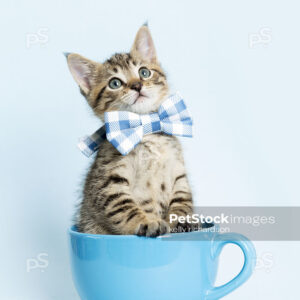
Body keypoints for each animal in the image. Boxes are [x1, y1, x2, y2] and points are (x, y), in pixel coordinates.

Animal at [66, 24, 193, 237]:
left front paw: (182, 220)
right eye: (115, 83)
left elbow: (183, 199)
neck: (146, 128)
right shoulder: (109, 182)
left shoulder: (179, 173)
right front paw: (147, 222)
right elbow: (124, 208)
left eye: (144, 72)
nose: (137, 85)